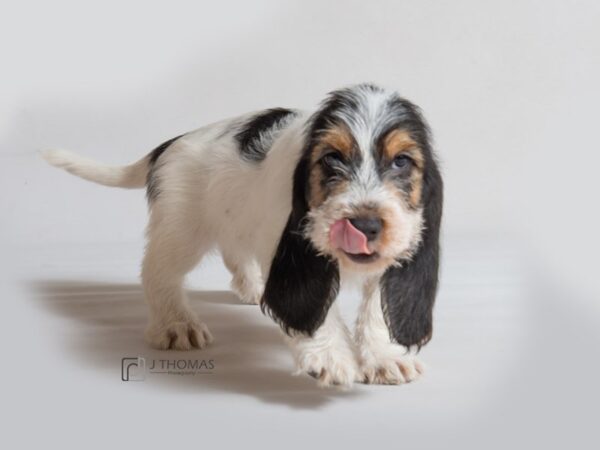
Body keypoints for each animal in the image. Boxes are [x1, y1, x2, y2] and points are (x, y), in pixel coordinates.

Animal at [44, 83, 442, 386]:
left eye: (402, 161)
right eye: (331, 157)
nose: (364, 224)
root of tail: (171, 143)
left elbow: (378, 307)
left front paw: (386, 358)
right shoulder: (292, 252)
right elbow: (314, 308)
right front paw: (329, 356)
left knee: (233, 250)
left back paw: (252, 288)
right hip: (181, 230)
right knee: (157, 273)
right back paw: (176, 324)